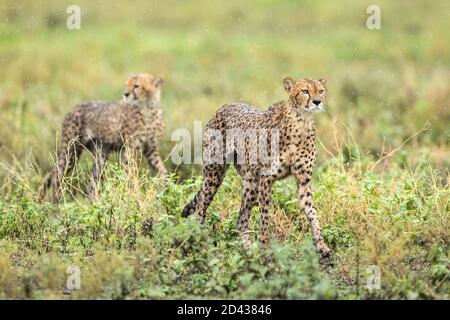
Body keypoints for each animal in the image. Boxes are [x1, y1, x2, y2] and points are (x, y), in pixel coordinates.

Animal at [181, 75, 332, 260]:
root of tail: (225, 106)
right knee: (200, 209)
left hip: (251, 182)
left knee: (241, 220)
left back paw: (247, 250)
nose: (317, 101)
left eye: (321, 90)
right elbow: (265, 216)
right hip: (214, 174)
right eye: (305, 91)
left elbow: (312, 213)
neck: (302, 121)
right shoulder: (266, 179)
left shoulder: (303, 181)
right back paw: (200, 244)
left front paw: (321, 244)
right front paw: (265, 248)